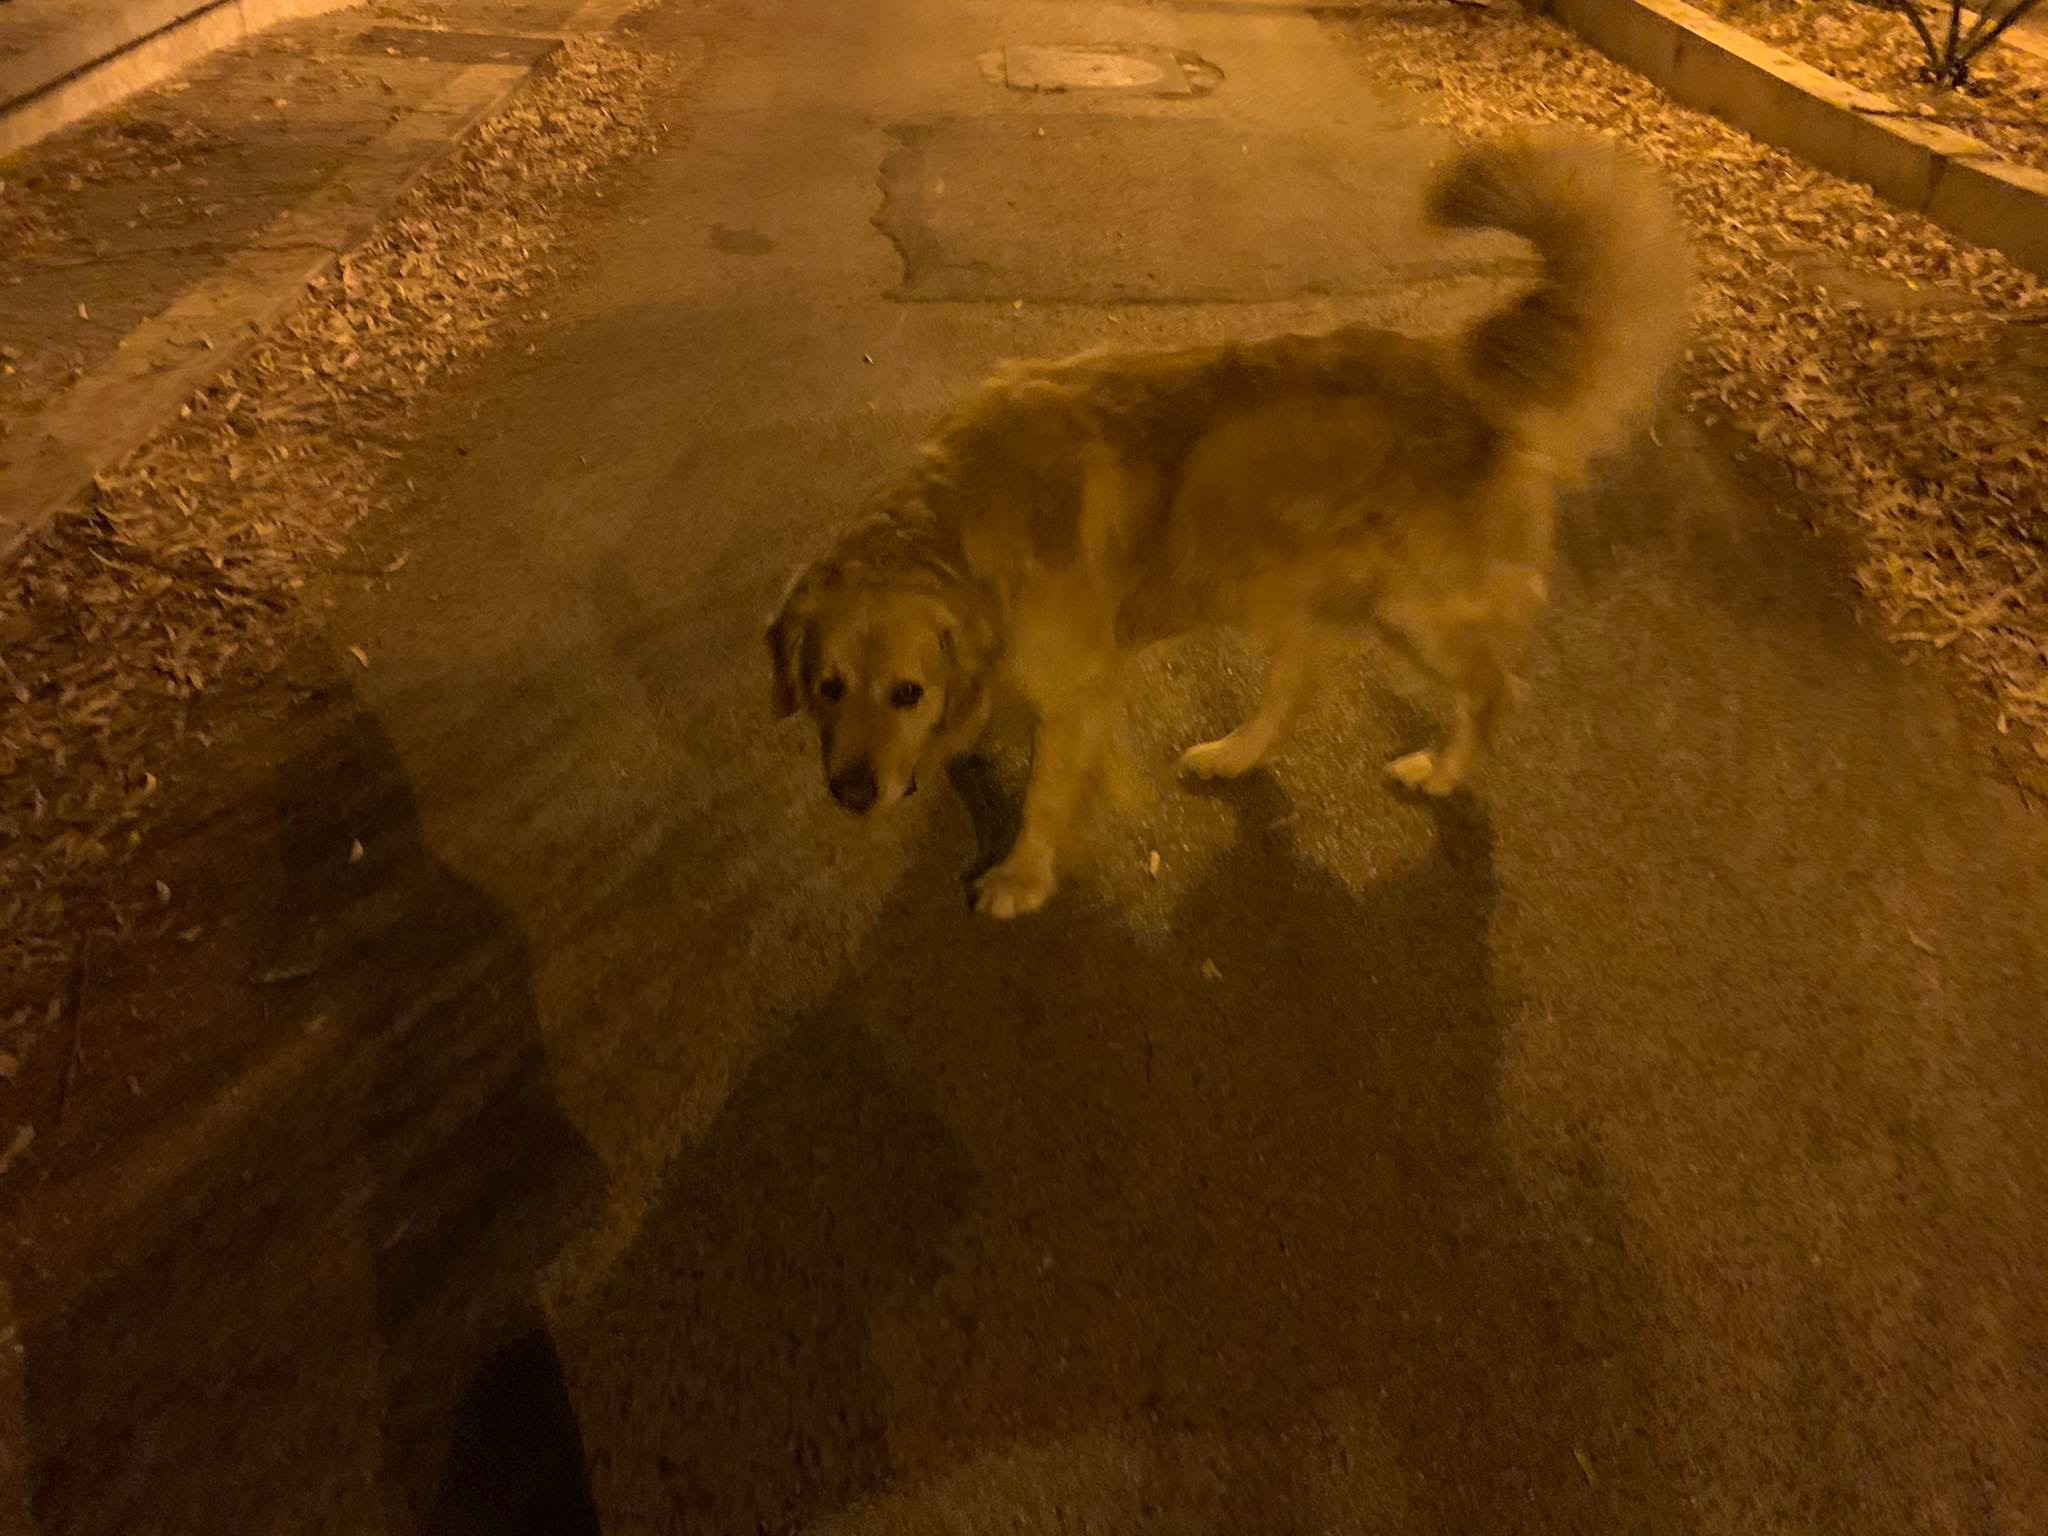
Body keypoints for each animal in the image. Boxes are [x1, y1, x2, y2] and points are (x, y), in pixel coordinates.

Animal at [768, 129, 1690, 918]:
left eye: (906, 690)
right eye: (827, 687)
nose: (852, 793)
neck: (963, 521)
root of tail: (1460, 365)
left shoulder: (1078, 696)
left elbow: (1045, 798)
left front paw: (1022, 878)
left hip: (1414, 612)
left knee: (1491, 689)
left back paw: (1441, 770)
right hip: (1282, 589)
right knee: (1303, 678)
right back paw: (1236, 753)